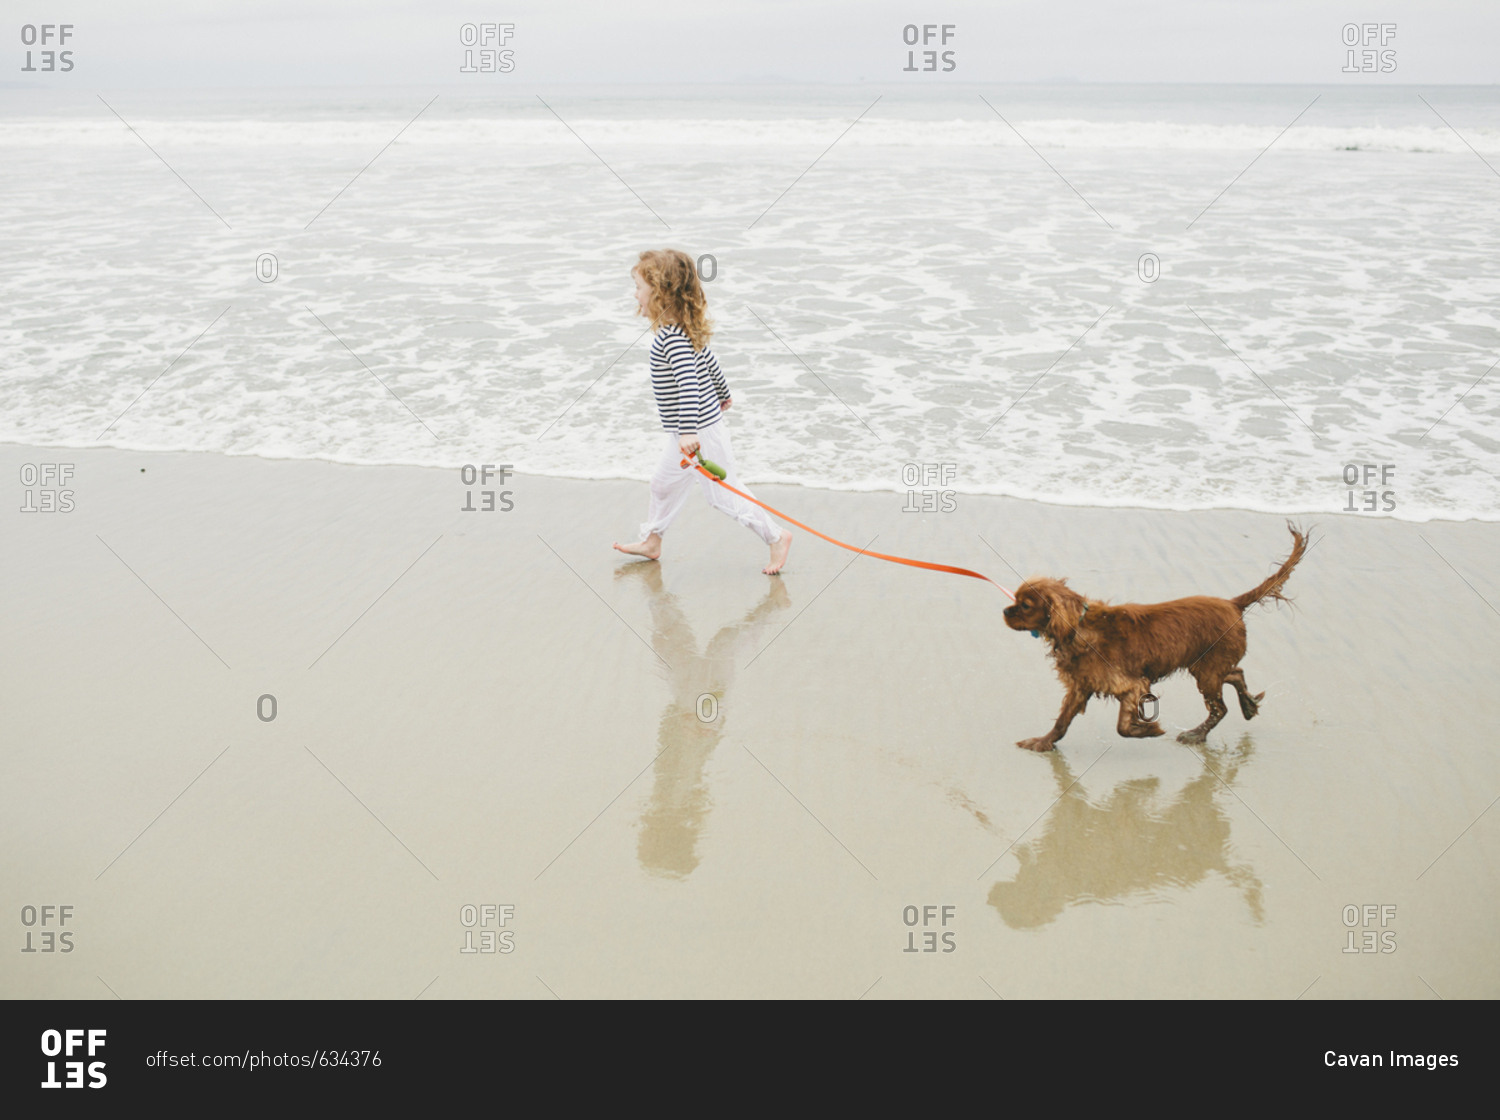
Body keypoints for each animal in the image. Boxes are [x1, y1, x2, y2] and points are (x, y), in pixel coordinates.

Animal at [1002, 524, 1308, 752]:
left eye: (1025, 605)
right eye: (1015, 599)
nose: (1005, 611)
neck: (1079, 628)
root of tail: (1233, 604)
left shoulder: (1132, 684)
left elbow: (1122, 727)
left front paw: (1150, 729)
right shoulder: (1080, 685)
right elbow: (1062, 721)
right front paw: (1042, 742)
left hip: (1207, 670)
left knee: (1220, 708)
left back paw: (1196, 734)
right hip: (1205, 666)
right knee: (1236, 674)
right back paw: (1248, 705)